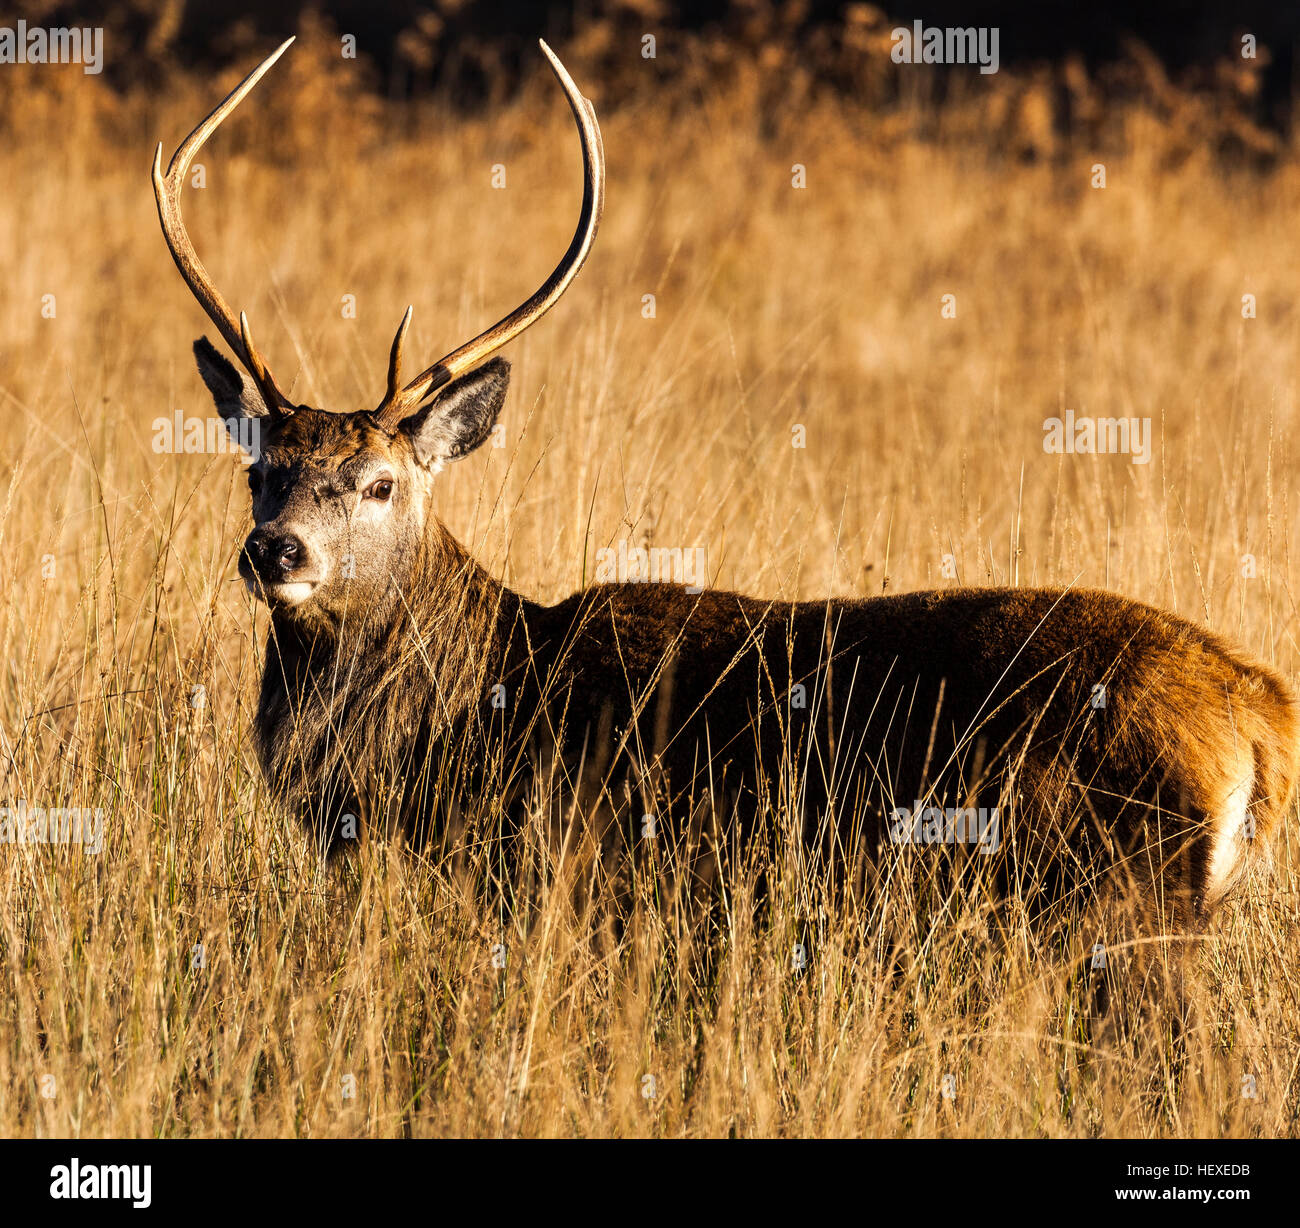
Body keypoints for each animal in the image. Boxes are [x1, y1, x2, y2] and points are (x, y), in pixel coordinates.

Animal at [154, 39, 1297, 1022]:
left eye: (381, 482)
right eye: (260, 470)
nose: (277, 550)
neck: (473, 711)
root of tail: (1258, 714)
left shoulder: (582, 875)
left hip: (1118, 900)